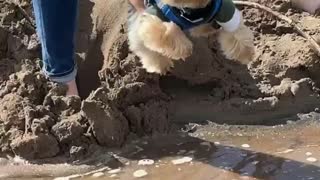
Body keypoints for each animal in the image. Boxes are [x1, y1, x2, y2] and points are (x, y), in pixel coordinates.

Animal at [127, 0, 255, 74]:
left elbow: (236, 32)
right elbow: (160, 33)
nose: (216, 25)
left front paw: (247, 55)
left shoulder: (225, 10)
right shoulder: (149, 15)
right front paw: (162, 65)